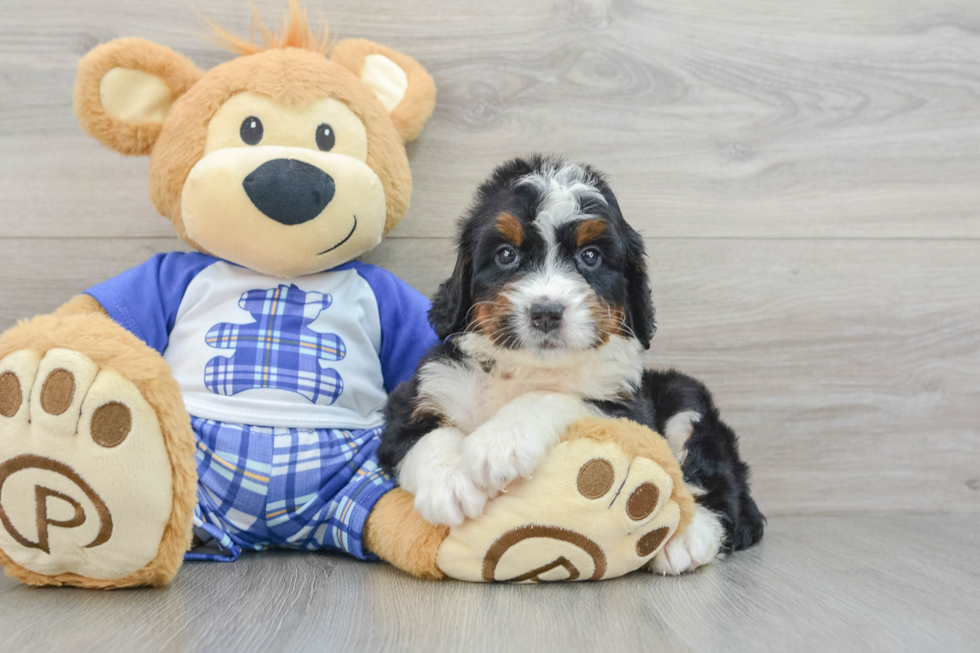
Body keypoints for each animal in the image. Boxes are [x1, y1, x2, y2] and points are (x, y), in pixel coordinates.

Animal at [378, 155, 764, 572]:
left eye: (590, 256)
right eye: (506, 255)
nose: (546, 312)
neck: (527, 369)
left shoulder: (623, 407)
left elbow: (554, 396)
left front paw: (500, 442)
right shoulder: (422, 392)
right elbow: (424, 437)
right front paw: (450, 484)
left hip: (686, 401)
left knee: (722, 490)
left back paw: (687, 540)